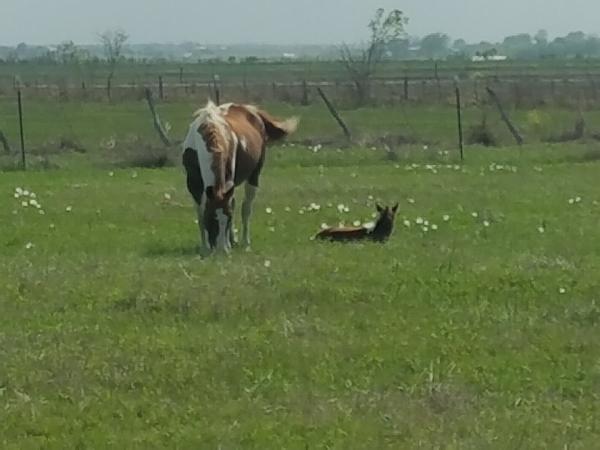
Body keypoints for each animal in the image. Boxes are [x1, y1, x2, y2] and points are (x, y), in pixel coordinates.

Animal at [182, 100, 296, 251]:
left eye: (229, 218)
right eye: (211, 218)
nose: (221, 250)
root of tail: (251, 110)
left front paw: (228, 242)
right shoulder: (193, 184)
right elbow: (200, 213)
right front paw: (205, 247)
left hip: (253, 176)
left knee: (246, 208)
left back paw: (244, 241)